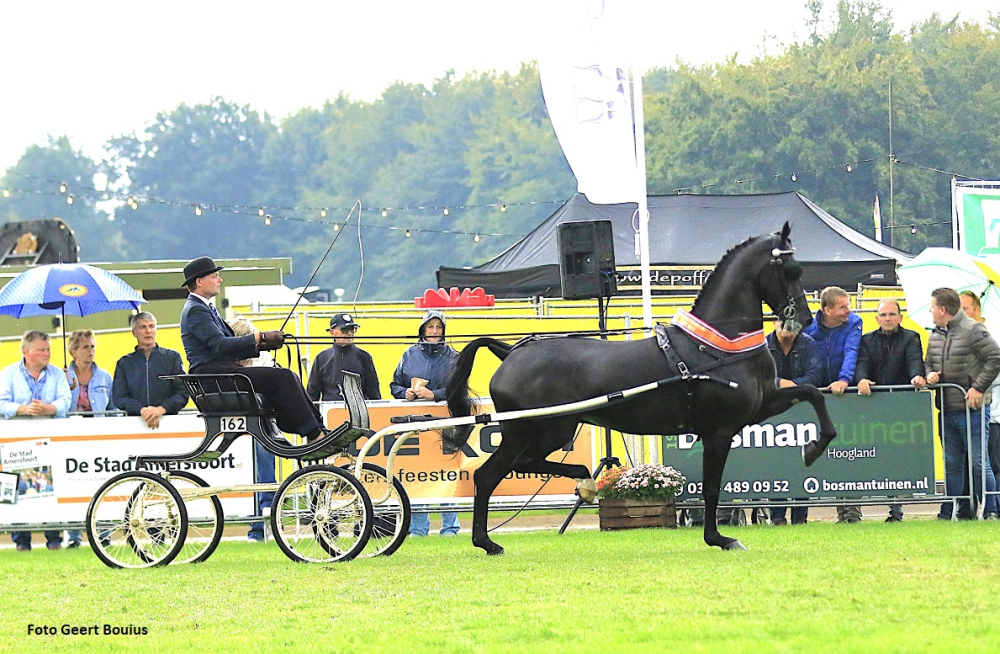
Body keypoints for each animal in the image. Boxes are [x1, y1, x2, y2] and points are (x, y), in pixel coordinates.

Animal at [444, 223, 837, 554]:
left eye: (799, 269)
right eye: (787, 269)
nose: (804, 319)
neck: (716, 347)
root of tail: (511, 352)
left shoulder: (762, 405)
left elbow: (814, 394)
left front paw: (813, 448)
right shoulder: (720, 430)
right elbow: (711, 488)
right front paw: (718, 538)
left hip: (544, 431)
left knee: (510, 468)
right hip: (539, 429)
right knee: (493, 473)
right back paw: (495, 537)